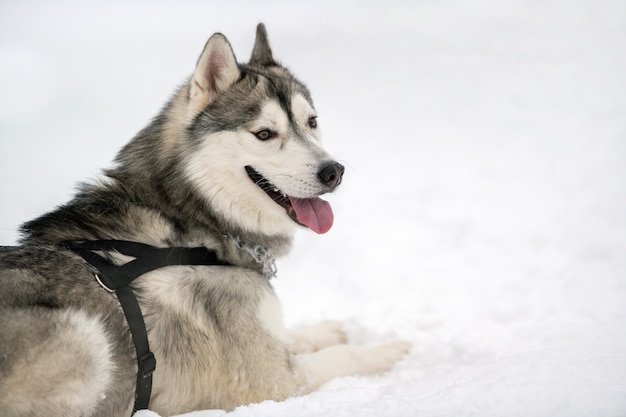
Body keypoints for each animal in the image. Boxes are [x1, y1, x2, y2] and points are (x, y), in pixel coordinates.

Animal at [0, 23, 408, 416]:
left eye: (311, 122)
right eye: (264, 133)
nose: (333, 171)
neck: (196, 225)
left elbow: (295, 333)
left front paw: (328, 329)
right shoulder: (276, 379)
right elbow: (342, 356)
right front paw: (391, 350)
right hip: (86, 335)